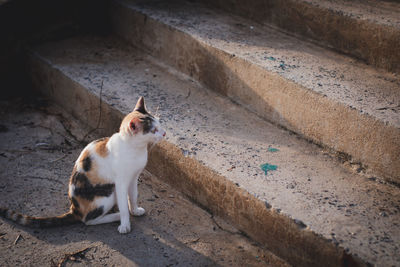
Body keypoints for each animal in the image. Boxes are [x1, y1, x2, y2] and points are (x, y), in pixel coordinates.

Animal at [0, 97, 166, 234]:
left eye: (159, 123)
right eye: (154, 130)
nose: (164, 133)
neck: (135, 149)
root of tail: (74, 210)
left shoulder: (134, 177)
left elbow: (133, 195)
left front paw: (135, 210)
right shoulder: (120, 182)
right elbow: (125, 205)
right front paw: (125, 224)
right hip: (107, 193)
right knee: (88, 220)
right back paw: (116, 215)